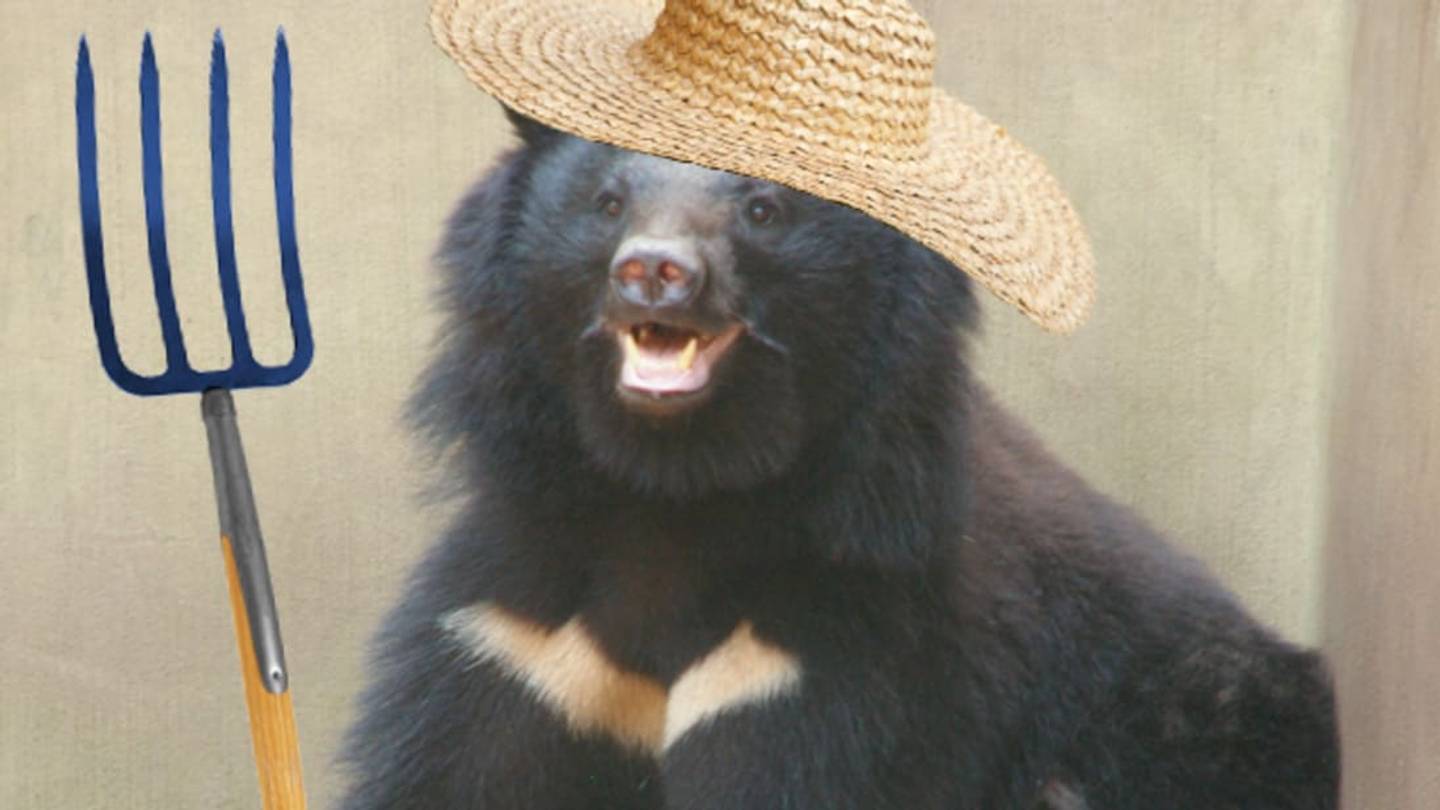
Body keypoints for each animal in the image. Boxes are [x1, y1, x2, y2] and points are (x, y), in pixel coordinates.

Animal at [335, 109, 1339, 809]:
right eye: (608, 202)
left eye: (762, 207)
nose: (655, 272)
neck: (673, 495)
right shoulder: (515, 640)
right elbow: (453, 771)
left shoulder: (835, 665)